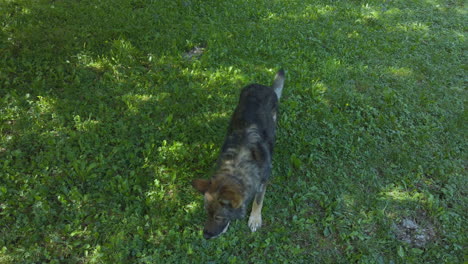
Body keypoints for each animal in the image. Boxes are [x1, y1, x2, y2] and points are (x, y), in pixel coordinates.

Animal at [191, 69, 286, 239]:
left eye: (219, 217)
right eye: (207, 213)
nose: (205, 236)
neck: (237, 166)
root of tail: (264, 87)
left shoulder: (262, 182)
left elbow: (258, 202)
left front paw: (255, 219)